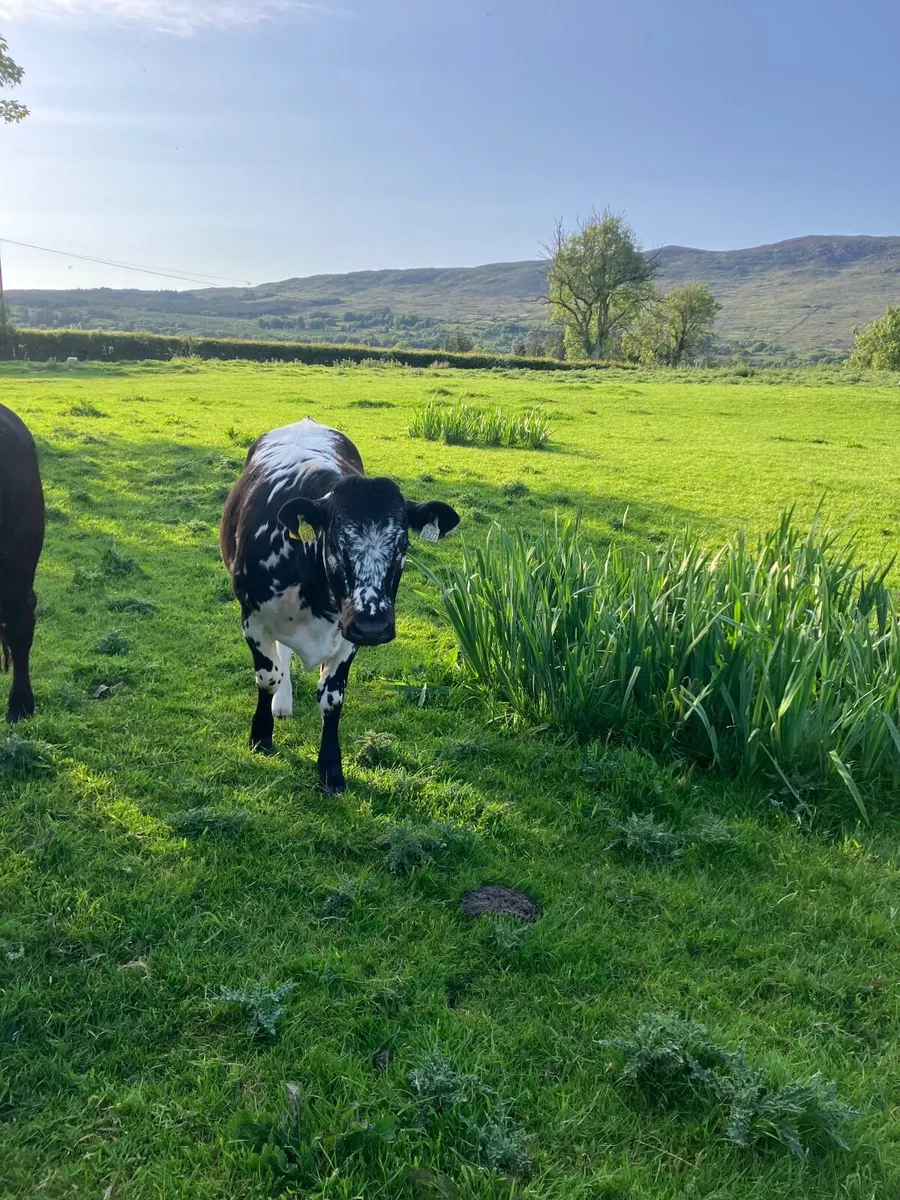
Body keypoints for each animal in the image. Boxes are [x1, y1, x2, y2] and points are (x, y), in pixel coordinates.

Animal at [220, 418, 460, 793]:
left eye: (403, 544)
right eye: (335, 540)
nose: (373, 625)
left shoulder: (348, 636)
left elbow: (332, 699)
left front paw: (331, 769)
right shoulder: (254, 620)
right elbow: (268, 676)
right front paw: (260, 735)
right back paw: (281, 703)